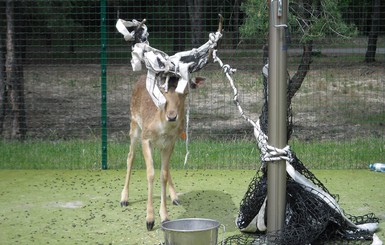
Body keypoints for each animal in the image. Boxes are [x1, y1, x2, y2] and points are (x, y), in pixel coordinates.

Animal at [121, 74, 202, 230]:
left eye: (185, 93)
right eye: (163, 92)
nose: (171, 116)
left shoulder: (170, 143)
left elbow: (163, 174)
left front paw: (165, 216)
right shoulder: (146, 138)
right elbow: (150, 174)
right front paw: (149, 220)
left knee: (165, 168)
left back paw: (175, 197)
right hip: (134, 124)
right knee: (130, 156)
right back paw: (124, 199)